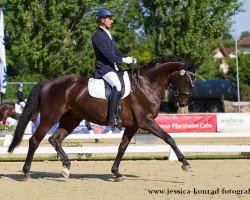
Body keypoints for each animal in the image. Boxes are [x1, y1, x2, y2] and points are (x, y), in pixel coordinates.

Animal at [7, 55, 199, 180]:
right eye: (188, 80)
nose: (183, 103)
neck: (147, 84)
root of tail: (48, 82)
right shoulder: (146, 121)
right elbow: (169, 138)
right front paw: (185, 163)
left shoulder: (133, 126)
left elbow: (122, 147)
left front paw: (116, 173)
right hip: (50, 118)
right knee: (35, 140)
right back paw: (26, 172)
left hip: (71, 119)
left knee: (55, 139)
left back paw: (67, 167)